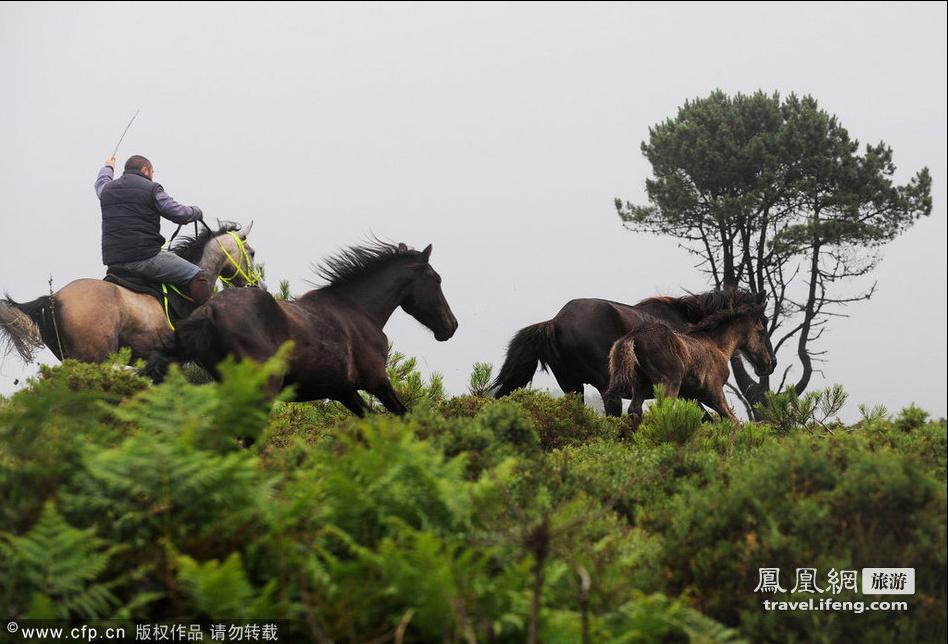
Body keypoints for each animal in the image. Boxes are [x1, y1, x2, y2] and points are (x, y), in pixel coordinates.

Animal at [146, 239, 458, 416]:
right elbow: (404, 417)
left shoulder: (343, 392)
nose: (451, 326)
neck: (356, 311)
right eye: (437, 279)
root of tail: (210, 311)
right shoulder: (377, 382)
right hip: (262, 390)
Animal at [492, 290, 772, 416]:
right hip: (607, 389)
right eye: (763, 325)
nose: (771, 363)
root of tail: (555, 322)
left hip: (573, 387)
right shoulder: (689, 393)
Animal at [608, 294, 776, 430]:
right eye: (761, 332)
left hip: (640, 385)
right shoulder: (714, 392)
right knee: (661, 411)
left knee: (635, 411)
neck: (717, 345)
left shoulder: (693, 396)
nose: (768, 364)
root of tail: (633, 336)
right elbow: (733, 421)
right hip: (669, 382)